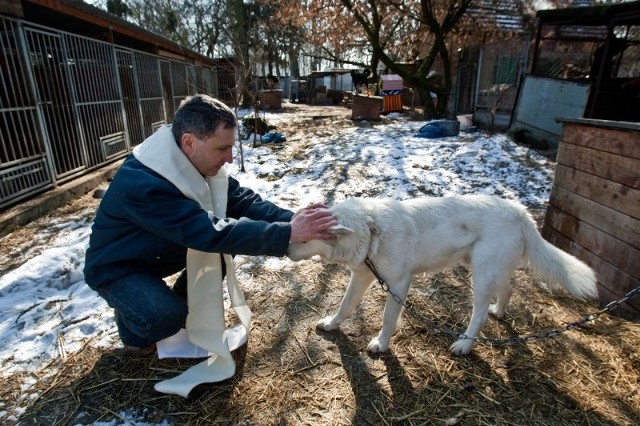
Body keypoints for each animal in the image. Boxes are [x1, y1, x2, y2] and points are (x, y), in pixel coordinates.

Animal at [288, 196, 596, 356]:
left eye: (303, 238)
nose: (285, 250)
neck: (372, 230)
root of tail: (521, 213)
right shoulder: (361, 277)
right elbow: (345, 305)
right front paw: (332, 324)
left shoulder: (398, 284)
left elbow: (387, 320)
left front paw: (381, 344)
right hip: (487, 270)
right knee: (506, 291)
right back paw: (499, 313)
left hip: (481, 277)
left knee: (479, 314)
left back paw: (465, 344)